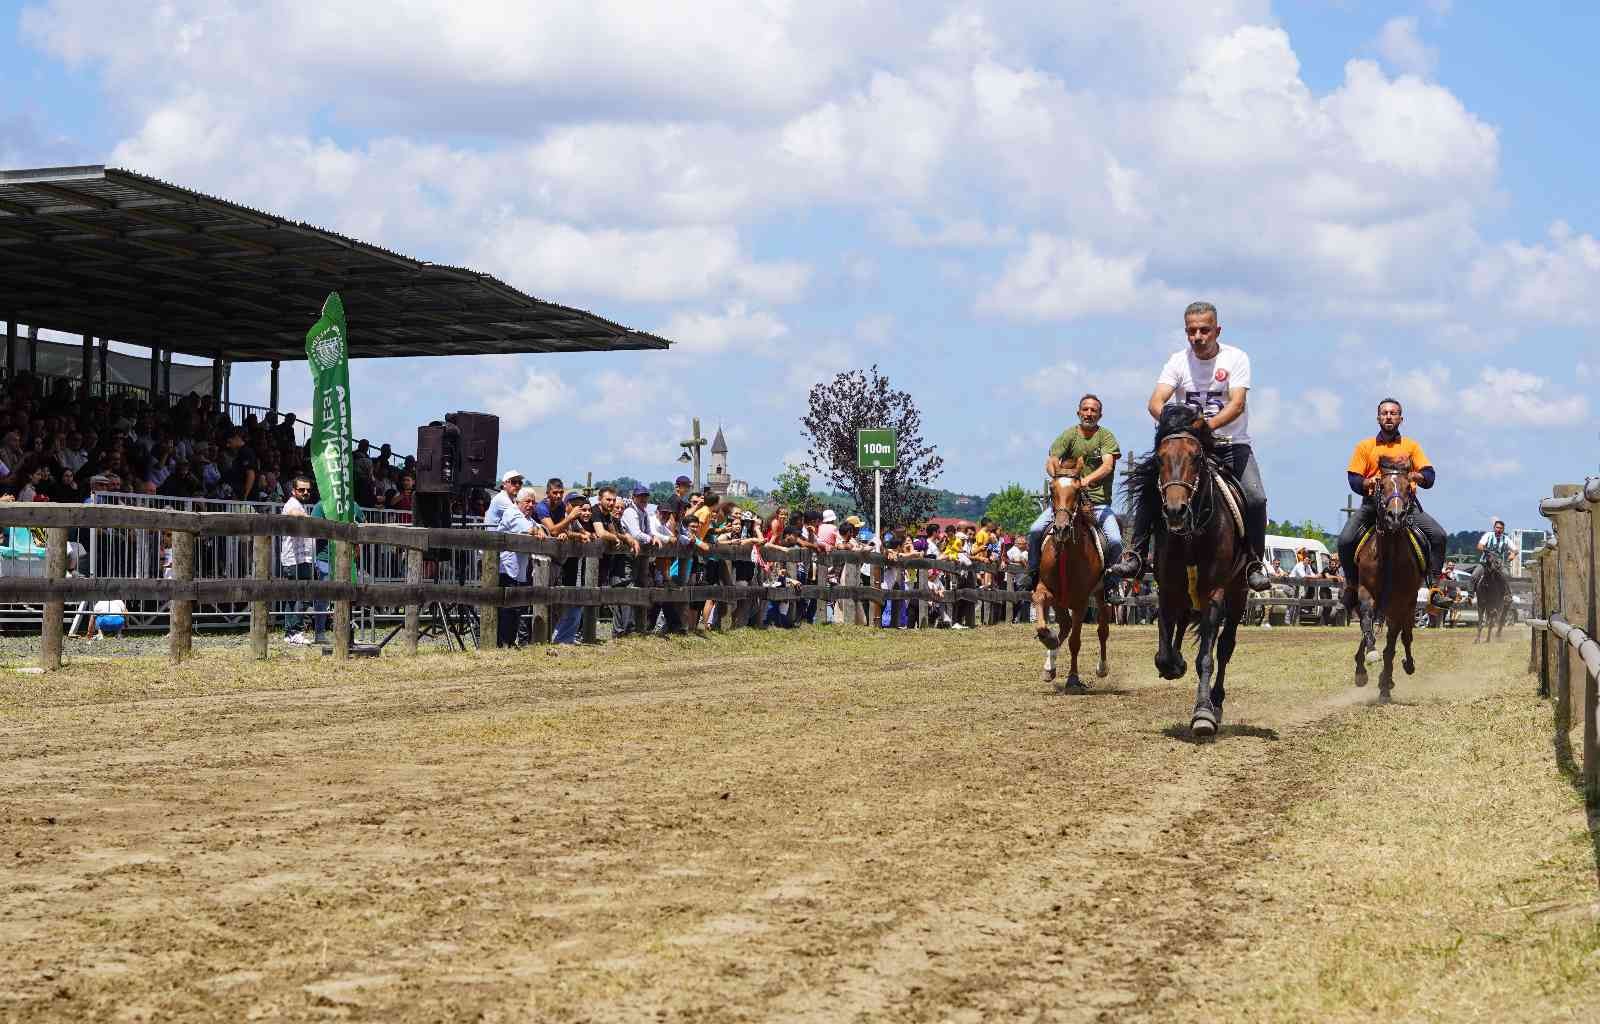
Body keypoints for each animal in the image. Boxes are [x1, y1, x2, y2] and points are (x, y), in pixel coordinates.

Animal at [1030, 467, 1107, 697]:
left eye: (1077, 490)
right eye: (1052, 490)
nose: (1061, 528)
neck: (1065, 553)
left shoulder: (1081, 601)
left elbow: (1075, 641)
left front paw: (1073, 679)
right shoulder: (1047, 589)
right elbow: (1039, 604)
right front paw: (1048, 638)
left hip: (1100, 594)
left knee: (1102, 629)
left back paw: (1102, 668)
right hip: (1060, 601)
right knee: (1064, 626)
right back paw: (1049, 665)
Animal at [1126, 408, 1248, 736]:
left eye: (1195, 457)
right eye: (1159, 458)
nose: (1175, 510)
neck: (1192, 533)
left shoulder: (1215, 593)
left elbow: (1206, 657)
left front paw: (1203, 713)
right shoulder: (1167, 590)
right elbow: (1163, 650)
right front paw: (1173, 666)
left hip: (1238, 594)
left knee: (1225, 647)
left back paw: (1216, 702)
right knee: (1181, 626)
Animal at [1350, 460, 1427, 700]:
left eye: (1408, 487)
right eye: (1381, 486)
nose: (1395, 516)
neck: (1389, 557)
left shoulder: (1402, 602)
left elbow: (1395, 642)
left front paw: (1387, 680)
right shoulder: (1366, 592)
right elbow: (1366, 623)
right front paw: (1367, 661)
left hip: (1405, 606)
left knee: (1402, 638)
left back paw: (1396, 673)